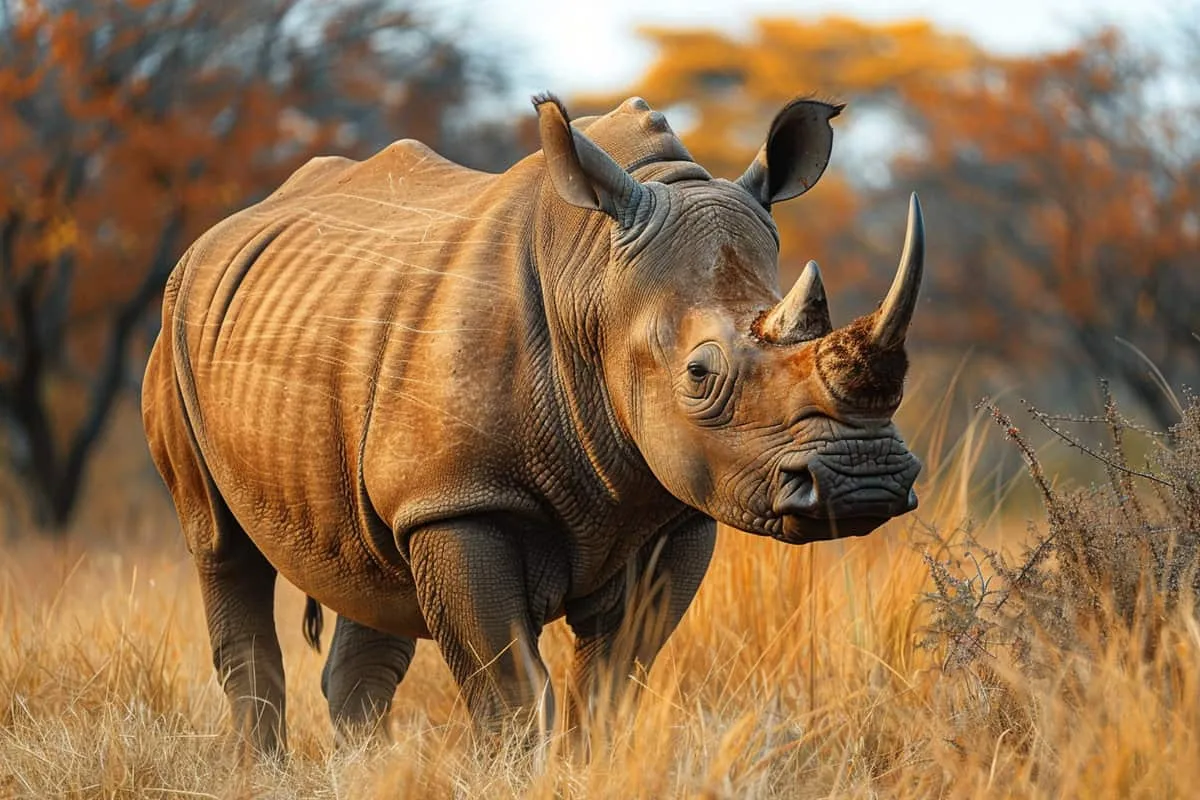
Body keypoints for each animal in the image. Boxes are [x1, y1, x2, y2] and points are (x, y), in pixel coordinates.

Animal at [141, 93, 925, 756]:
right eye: (700, 375)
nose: (864, 482)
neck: (597, 283)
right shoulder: (461, 501)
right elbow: (511, 690)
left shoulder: (674, 510)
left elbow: (613, 682)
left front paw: (592, 766)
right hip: (175, 325)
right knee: (219, 546)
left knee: (367, 574)